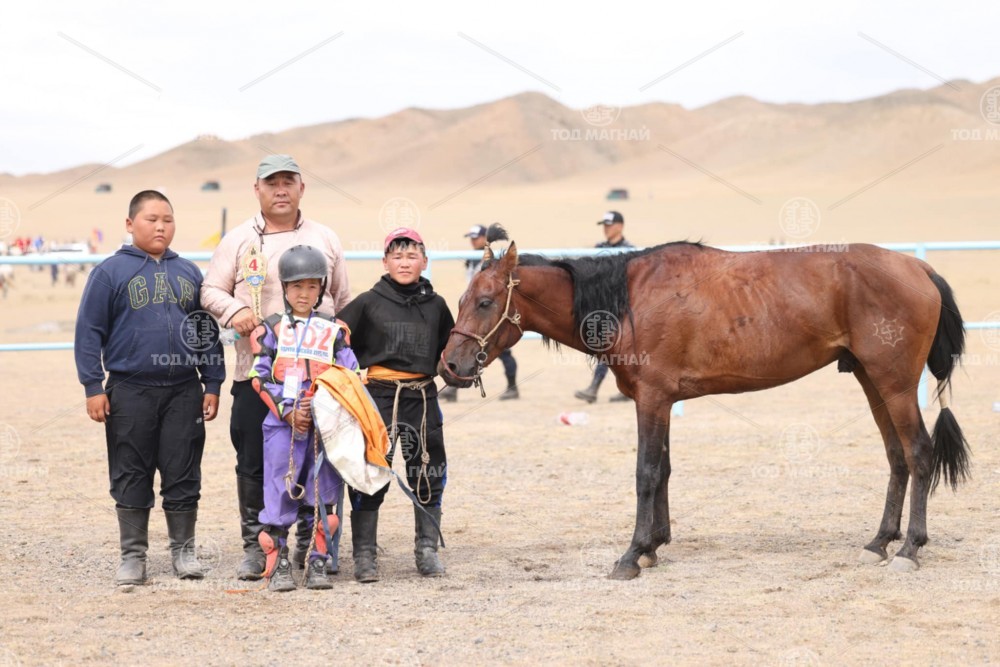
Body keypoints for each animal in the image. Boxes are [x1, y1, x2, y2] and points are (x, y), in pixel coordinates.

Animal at [438, 239, 970, 579]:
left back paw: (909, 548)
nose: (451, 365)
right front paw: (653, 546)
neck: (628, 302)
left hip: (895, 383)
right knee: (897, 457)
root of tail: (919, 269)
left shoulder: (652, 399)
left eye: (485, 301)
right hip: (871, 381)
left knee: (919, 453)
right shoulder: (662, 401)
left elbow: (646, 472)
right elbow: (665, 470)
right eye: (462, 298)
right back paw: (880, 541)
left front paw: (632, 554)